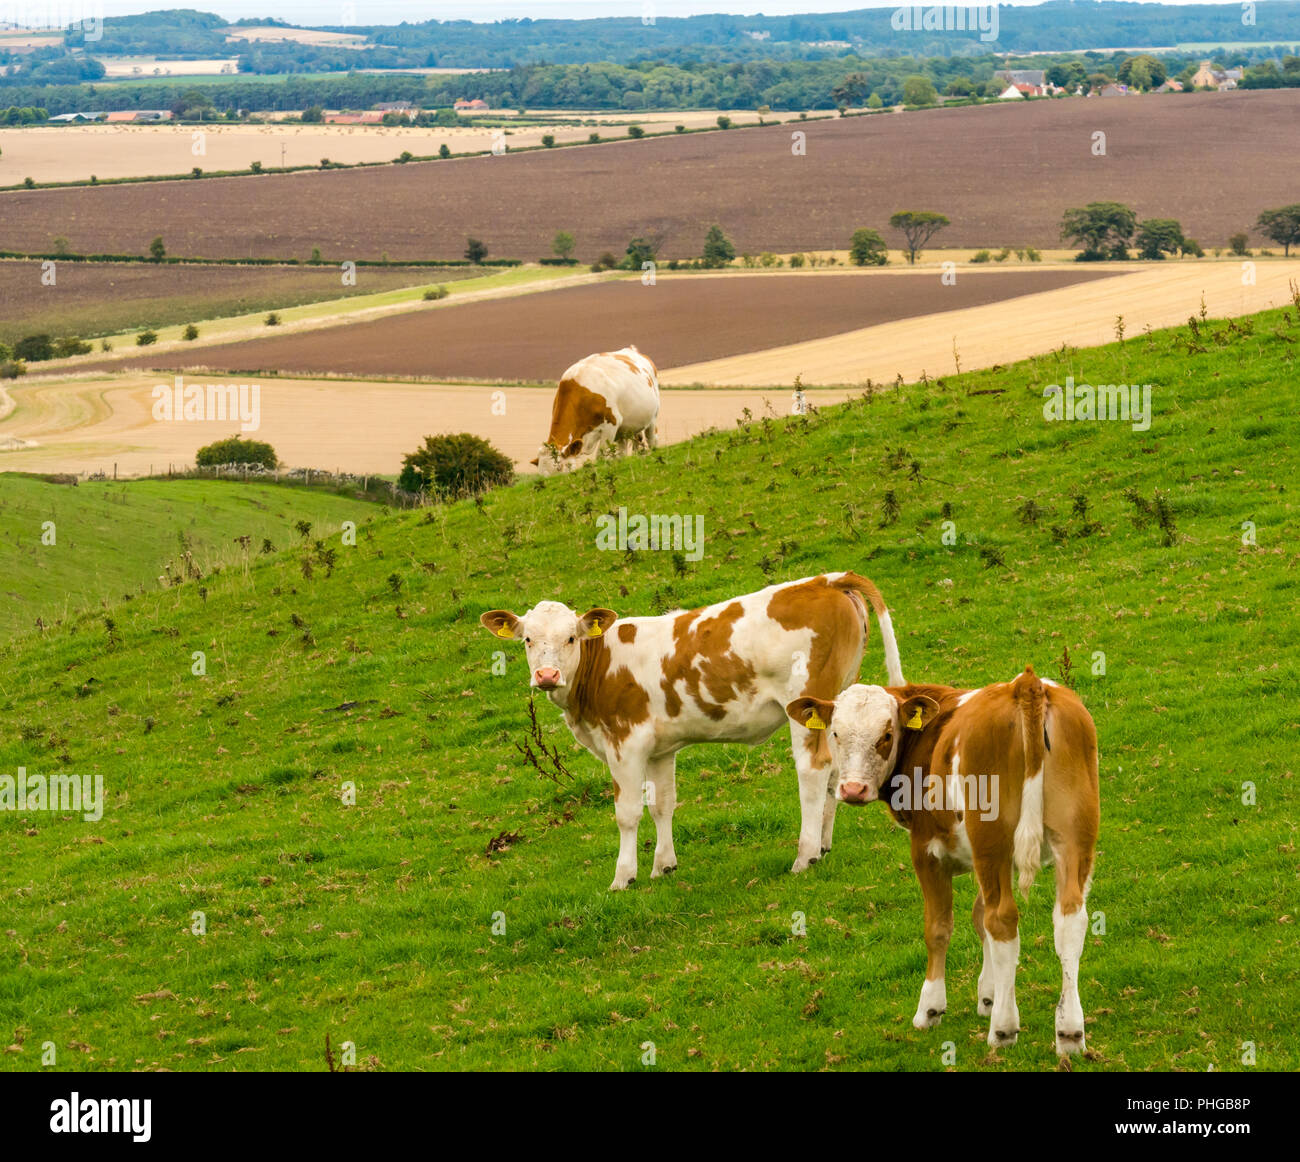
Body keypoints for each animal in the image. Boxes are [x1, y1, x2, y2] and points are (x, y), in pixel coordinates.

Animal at [480, 572, 904, 890]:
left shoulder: (625, 743)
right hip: (835, 708)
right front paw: (663, 866)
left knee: (813, 772)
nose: (546, 676)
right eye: (528, 640)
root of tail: (826, 580)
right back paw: (825, 844)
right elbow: (662, 804)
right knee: (836, 770)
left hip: (804, 704)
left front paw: (624, 877)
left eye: (571, 637)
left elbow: (627, 812)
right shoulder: (659, 748)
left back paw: (806, 855)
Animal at [532, 346, 660, 476]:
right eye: (541, 475)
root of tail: (631, 349)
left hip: (653, 418)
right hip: (627, 428)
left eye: (559, 467)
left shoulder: (611, 425)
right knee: (627, 449)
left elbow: (600, 457)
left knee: (652, 440)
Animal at [786, 667, 1099, 1055]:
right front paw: (989, 995)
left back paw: (1003, 1029)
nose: (853, 790)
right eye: (836, 733)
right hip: (1072, 839)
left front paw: (931, 1007)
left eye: (886, 735)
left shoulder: (927, 850)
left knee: (1003, 920)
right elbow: (979, 917)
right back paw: (1069, 1031)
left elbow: (939, 927)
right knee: (1069, 919)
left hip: (993, 840)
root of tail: (1027, 685)